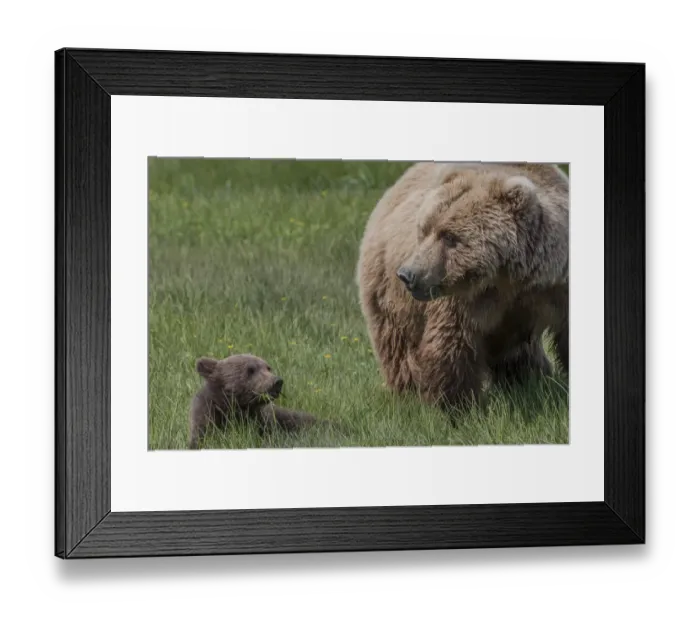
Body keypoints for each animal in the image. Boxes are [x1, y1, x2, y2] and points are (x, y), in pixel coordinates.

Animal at [356, 161, 569, 412]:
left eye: (449, 236)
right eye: (424, 230)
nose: (408, 274)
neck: (510, 278)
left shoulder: (556, 285)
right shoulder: (462, 301)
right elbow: (451, 344)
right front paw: (457, 406)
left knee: (518, 353)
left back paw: (529, 380)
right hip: (388, 293)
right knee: (397, 346)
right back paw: (408, 392)